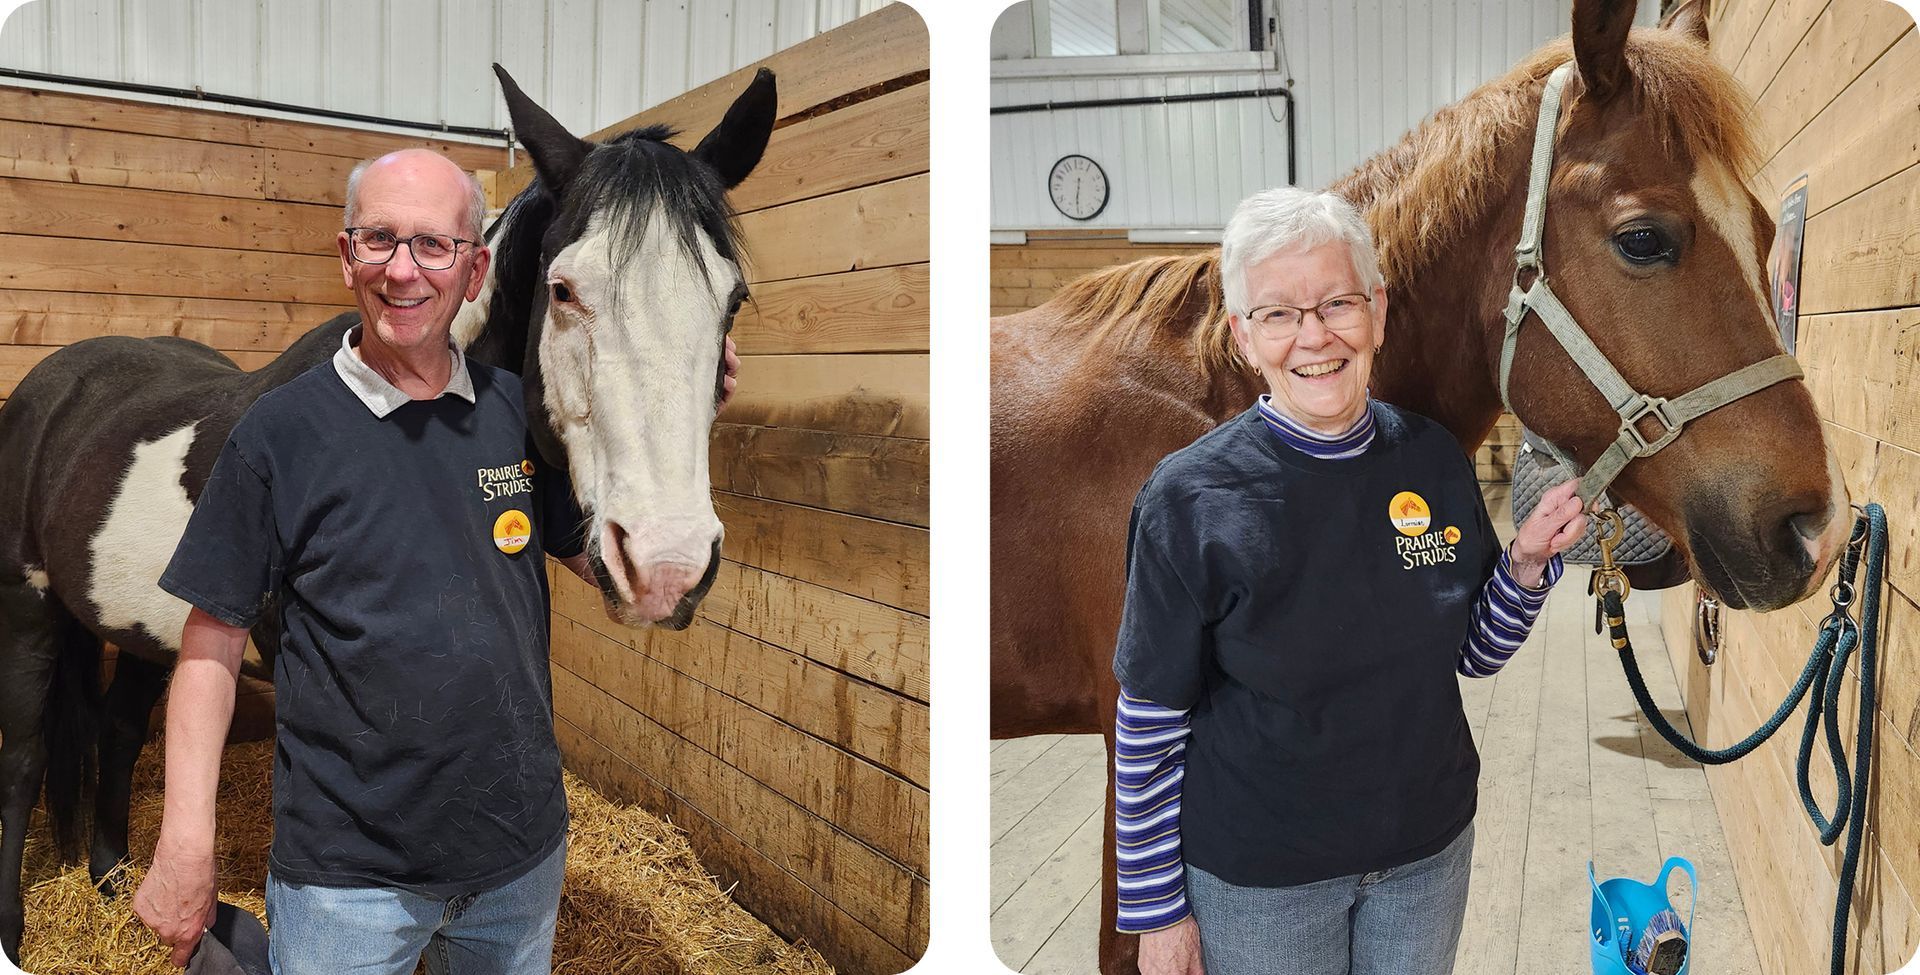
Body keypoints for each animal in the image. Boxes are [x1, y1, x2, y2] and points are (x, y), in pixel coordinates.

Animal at [0, 63, 775, 962]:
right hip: (28, 610)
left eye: (731, 300)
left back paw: (113, 879)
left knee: (120, 731)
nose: (665, 566)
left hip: (143, 629)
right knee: (23, 760)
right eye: (564, 289)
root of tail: (55, 382)